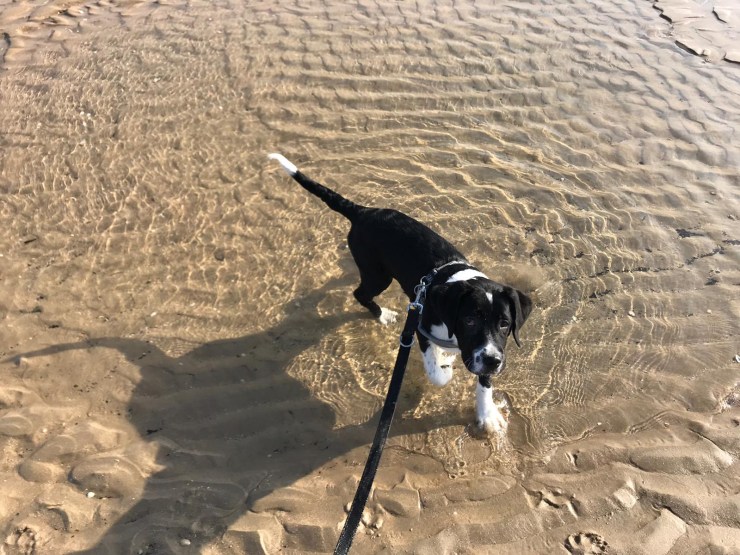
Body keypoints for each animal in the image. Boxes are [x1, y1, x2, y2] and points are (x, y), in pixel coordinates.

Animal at [268, 153, 532, 434]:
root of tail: (362, 211)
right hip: (378, 275)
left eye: (504, 324)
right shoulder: (423, 329)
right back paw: (381, 315)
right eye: (469, 320)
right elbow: (437, 374)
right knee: (359, 294)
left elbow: (484, 381)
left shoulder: (489, 348)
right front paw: (445, 365)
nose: (494, 362)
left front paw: (487, 414)